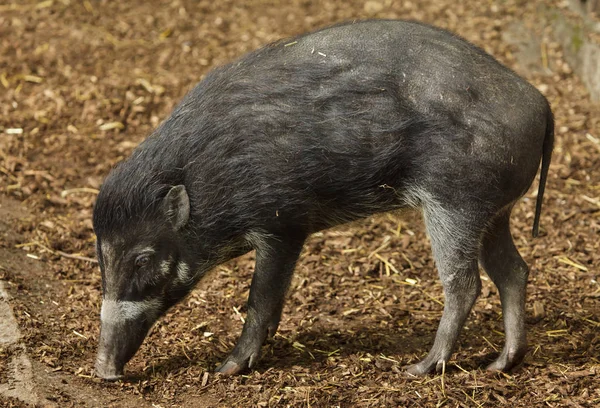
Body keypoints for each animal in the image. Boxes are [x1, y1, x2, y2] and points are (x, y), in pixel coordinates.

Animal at [91, 20, 556, 380]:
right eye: (100, 255)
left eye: (142, 258)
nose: (104, 372)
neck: (207, 180)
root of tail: (540, 102)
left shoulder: (282, 225)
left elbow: (260, 298)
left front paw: (227, 369)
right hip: (494, 212)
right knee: (514, 271)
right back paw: (500, 364)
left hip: (455, 205)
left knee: (464, 283)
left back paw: (419, 369)